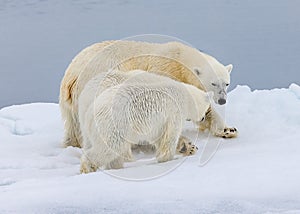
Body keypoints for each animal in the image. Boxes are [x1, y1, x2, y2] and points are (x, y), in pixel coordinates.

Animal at [58, 40, 237, 150]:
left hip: (70, 104)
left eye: (226, 83)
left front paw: (228, 129)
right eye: (213, 83)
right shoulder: (164, 70)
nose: (222, 100)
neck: (179, 59)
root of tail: (72, 76)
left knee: (74, 127)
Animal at [79, 69, 211, 173]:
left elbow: (157, 135)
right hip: (115, 122)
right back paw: (88, 167)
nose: (203, 118)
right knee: (110, 147)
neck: (186, 95)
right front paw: (168, 158)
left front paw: (188, 147)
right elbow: (170, 136)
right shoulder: (175, 111)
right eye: (206, 109)